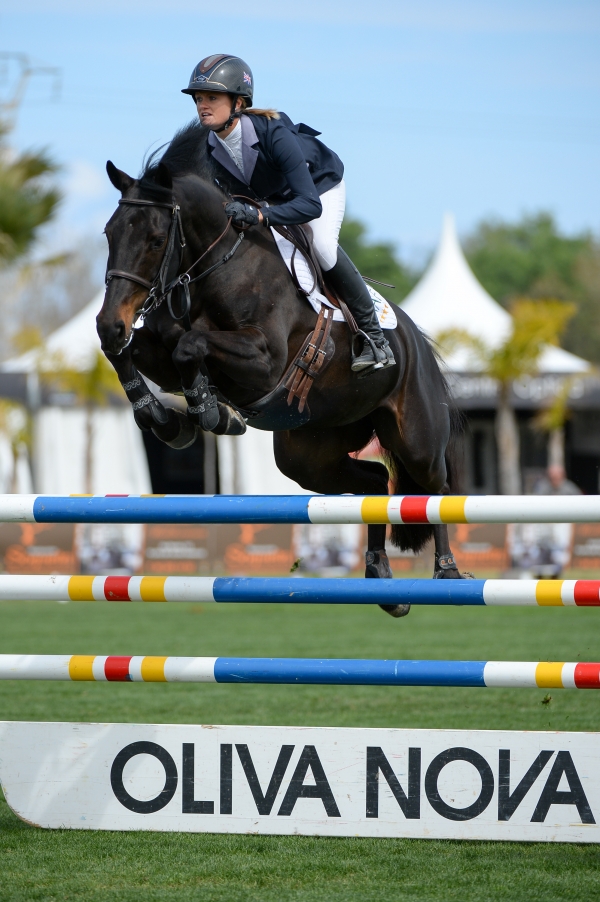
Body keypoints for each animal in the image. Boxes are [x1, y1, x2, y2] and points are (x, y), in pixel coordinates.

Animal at [96, 120, 468, 616]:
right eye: (109, 234)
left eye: (156, 241)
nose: (111, 321)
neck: (215, 267)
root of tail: (417, 343)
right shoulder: (158, 350)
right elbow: (133, 353)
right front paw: (166, 418)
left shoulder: (264, 362)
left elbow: (190, 346)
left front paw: (209, 412)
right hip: (309, 455)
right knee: (374, 484)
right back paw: (379, 576)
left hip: (416, 441)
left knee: (434, 491)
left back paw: (447, 572)